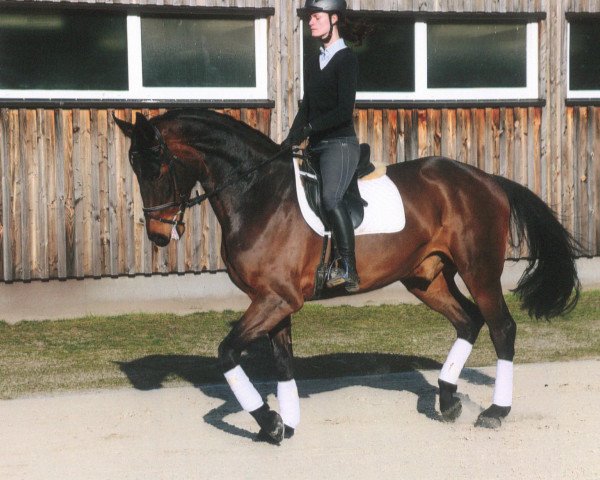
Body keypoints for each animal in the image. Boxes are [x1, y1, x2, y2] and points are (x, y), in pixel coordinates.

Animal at [113, 108, 580, 442]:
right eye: (134, 168)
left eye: (157, 167)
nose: (157, 235)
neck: (258, 193)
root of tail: (487, 180)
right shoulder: (273, 300)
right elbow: (283, 361)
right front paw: (287, 423)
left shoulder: (277, 298)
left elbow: (227, 352)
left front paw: (270, 422)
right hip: (425, 278)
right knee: (468, 320)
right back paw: (447, 399)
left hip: (479, 270)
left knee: (501, 327)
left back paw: (495, 412)